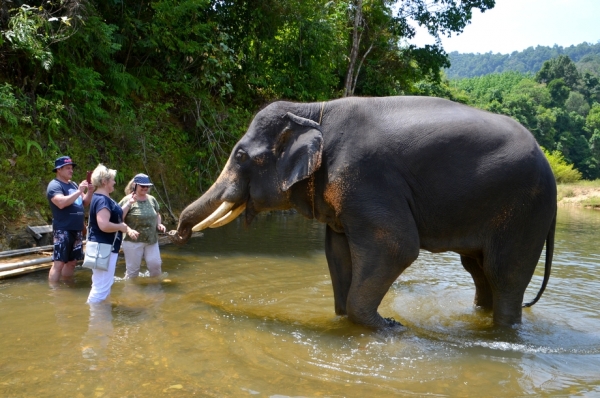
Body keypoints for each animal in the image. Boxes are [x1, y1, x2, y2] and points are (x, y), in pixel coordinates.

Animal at [170, 96, 556, 330]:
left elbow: (397, 245)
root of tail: (547, 162)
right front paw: (350, 320)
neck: (312, 110)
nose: (178, 233)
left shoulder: (365, 178)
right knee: (479, 270)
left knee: (505, 273)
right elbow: (338, 252)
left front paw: (390, 327)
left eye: (240, 156)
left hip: (525, 212)